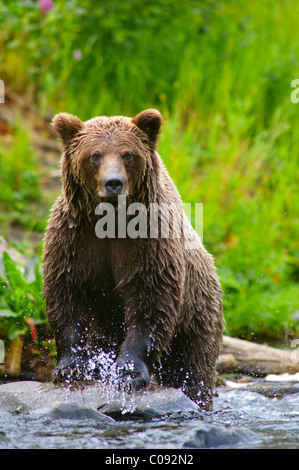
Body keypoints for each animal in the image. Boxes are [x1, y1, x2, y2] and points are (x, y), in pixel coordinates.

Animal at [43, 108, 224, 410]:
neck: (110, 220)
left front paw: (128, 371)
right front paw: (71, 366)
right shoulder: (73, 239)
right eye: (95, 154)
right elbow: (67, 293)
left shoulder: (149, 242)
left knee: (193, 367)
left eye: (127, 154)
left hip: (197, 315)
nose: (113, 183)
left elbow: (150, 299)